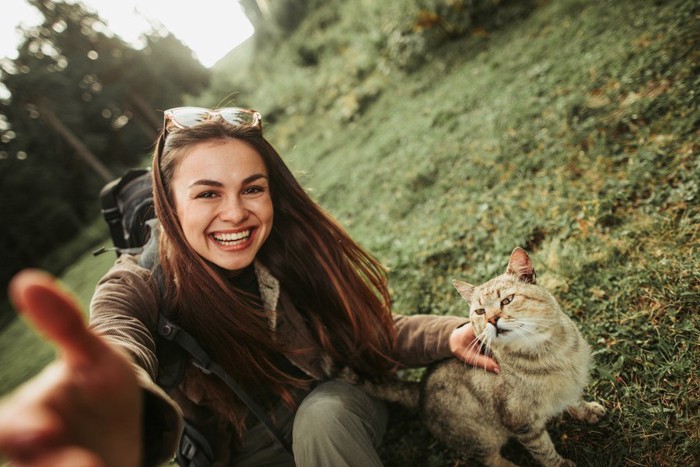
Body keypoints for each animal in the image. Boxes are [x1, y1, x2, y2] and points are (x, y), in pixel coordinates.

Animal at [358, 249, 604, 467]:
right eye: (480, 312)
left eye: (507, 300)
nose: (492, 320)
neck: (551, 351)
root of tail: (419, 389)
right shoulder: (523, 425)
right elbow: (544, 451)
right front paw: (560, 464)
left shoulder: (570, 387)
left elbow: (575, 401)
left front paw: (588, 412)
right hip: (481, 439)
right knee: (490, 460)